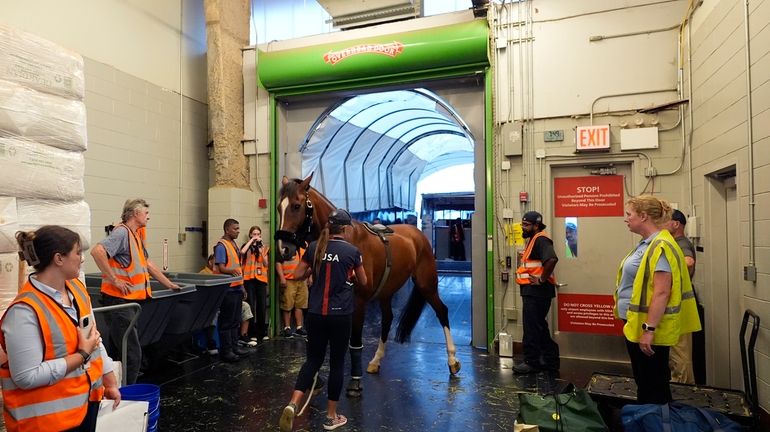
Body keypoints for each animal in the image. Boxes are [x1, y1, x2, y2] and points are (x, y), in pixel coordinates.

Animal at [274, 175, 460, 394]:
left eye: (296, 206)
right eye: (279, 207)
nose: (283, 249)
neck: (340, 239)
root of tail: (417, 234)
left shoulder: (359, 303)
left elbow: (355, 343)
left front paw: (355, 382)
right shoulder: (319, 302)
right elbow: (316, 340)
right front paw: (315, 379)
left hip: (426, 284)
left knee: (442, 311)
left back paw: (452, 360)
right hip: (387, 292)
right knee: (387, 319)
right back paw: (376, 361)